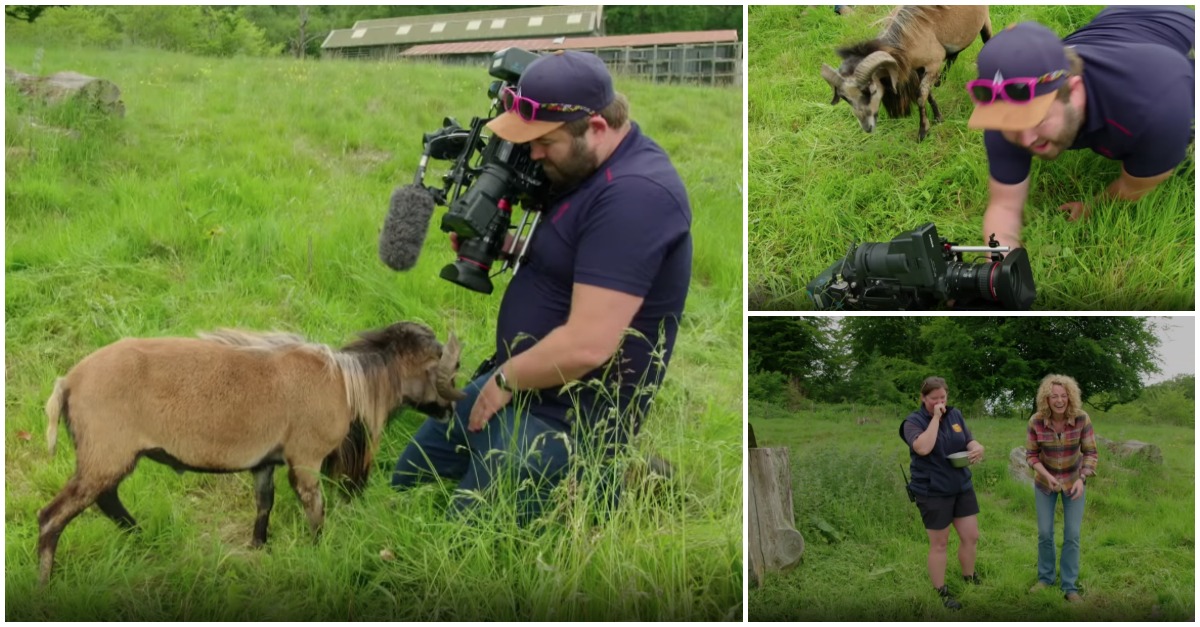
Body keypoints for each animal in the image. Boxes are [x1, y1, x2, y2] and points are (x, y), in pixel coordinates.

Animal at [38, 319, 463, 583]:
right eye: (441, 366)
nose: (450, 409)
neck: (346, 382)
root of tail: (67, 383)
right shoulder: (305, 459)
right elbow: (315, 508)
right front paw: (318, 549)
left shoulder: (265, 463)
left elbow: (264, 502)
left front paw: (259, 545)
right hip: (106, 455)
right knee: (52, 517)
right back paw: (46, 582)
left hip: (105, 458)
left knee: (105, 500)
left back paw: (142, 537)